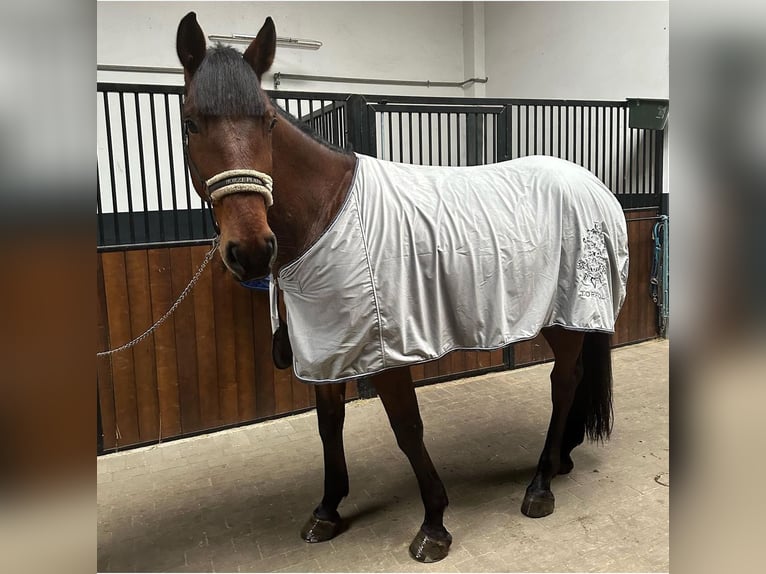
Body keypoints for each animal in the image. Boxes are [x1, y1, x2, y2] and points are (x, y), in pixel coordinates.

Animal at [176, 11, 632, 564]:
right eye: (191, 122)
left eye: (266, 121)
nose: (251, 250)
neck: (330, 213)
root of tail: (594, 186)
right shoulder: (328, 350)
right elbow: (329, 426)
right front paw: (327, 511)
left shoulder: (386, 348)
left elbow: (407, 430)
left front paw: (434, 525)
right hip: (554, 314)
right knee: (572, 379)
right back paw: (560, 458)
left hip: (571, 312)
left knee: (563, 381)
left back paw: (541, 486)